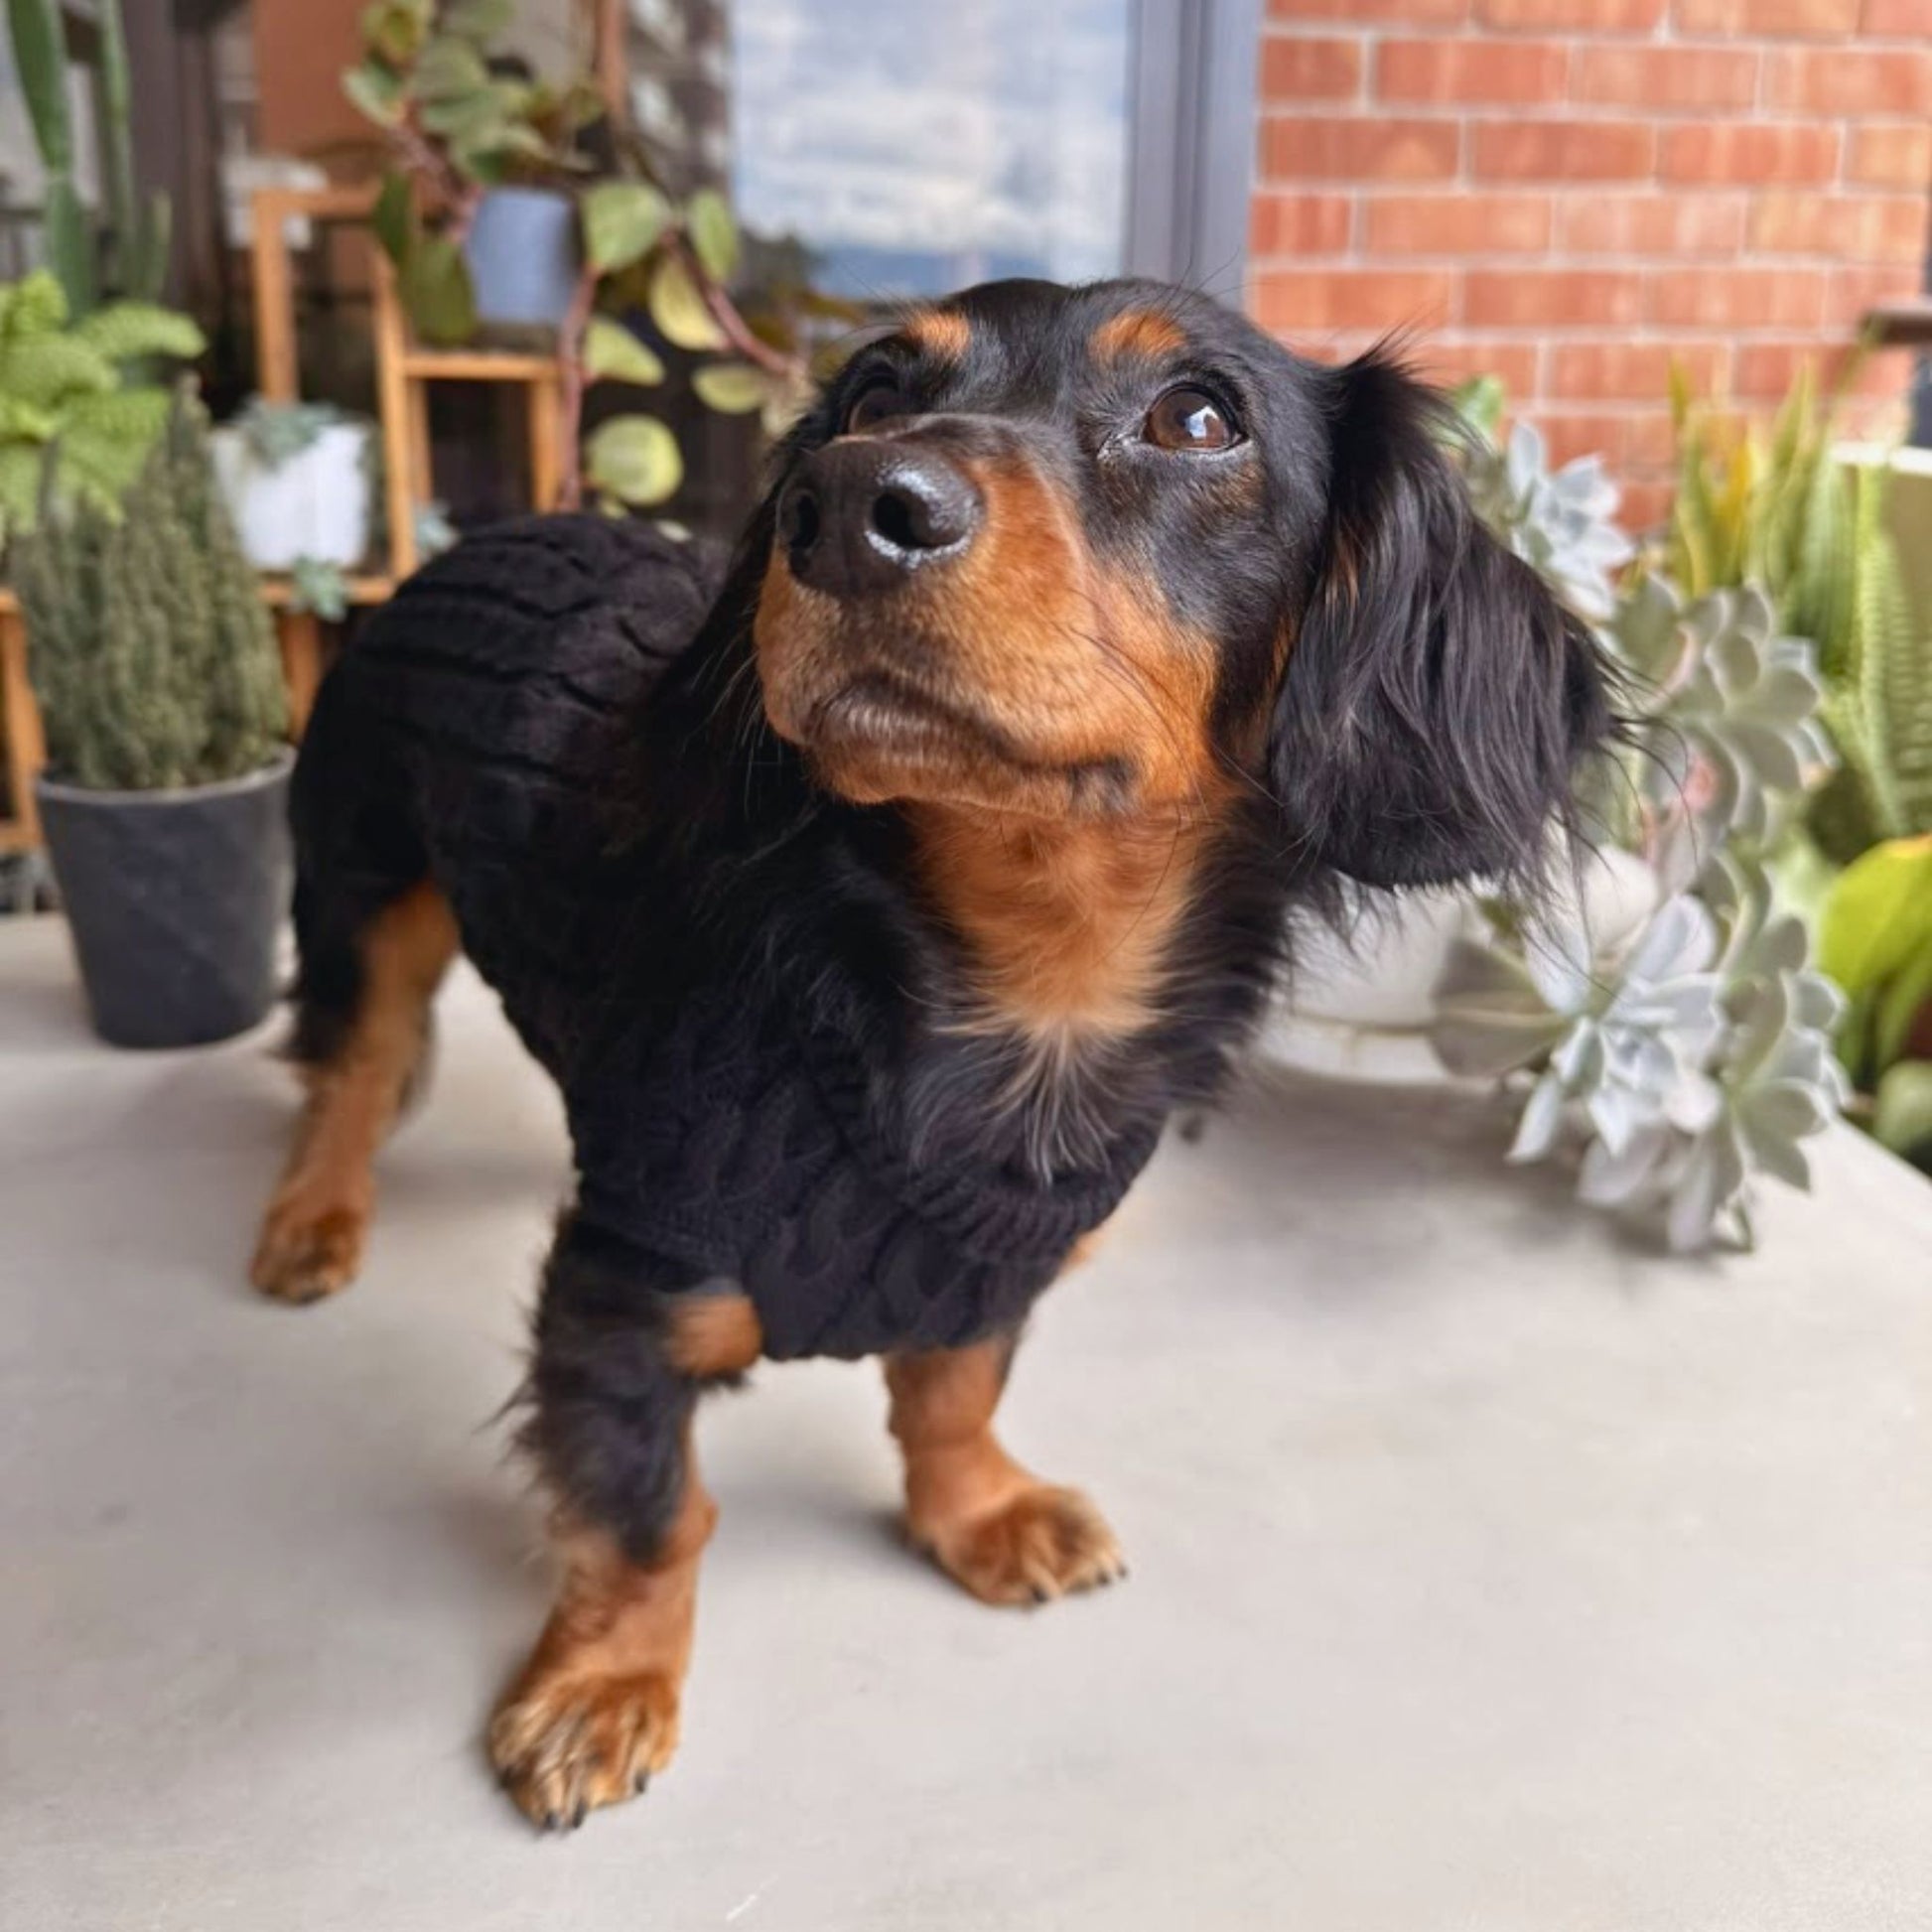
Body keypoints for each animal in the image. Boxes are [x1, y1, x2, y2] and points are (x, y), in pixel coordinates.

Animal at [249, 276, 1611, 1829]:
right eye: (872, 399)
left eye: (1199, 417)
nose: (846, 505)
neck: (1008, 997)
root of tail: (479, 538)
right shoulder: (622, 1288)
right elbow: (652, 1511)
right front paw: (603, 1685)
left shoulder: (987, 1266)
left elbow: (953, 1392)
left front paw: (980, 1514)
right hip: (365, 888)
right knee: (352, 1067)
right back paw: (313, 1217)